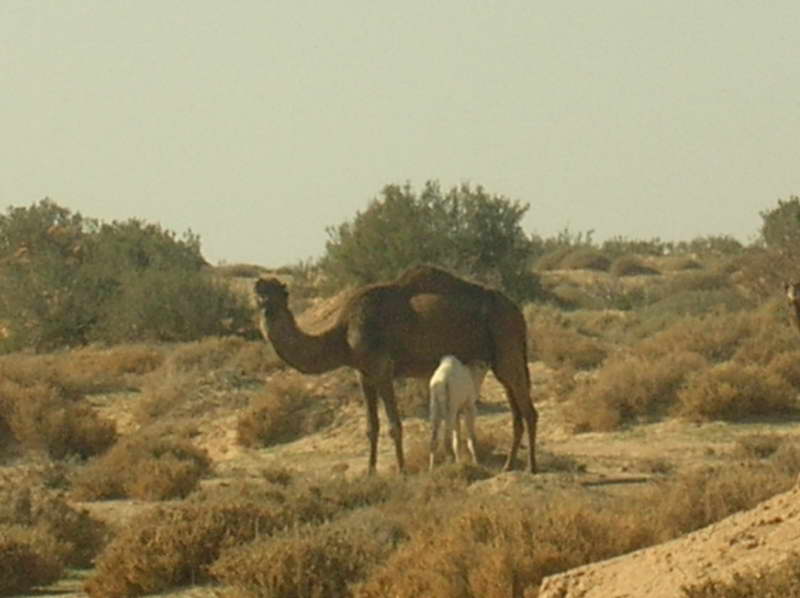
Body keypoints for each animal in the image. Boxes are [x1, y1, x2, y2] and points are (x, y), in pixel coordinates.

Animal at [255, 264, 536, 476]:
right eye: (260, 292)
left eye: (278, 292)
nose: (263, 300)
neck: (343, 333)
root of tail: (518, 311)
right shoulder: (363, 373)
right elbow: (372, 426)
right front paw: (370, 473)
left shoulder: (382, 369)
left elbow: (394, 424)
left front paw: (401, 471)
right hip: (500, 358)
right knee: (516, 411)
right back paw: (509, 466)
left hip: (506, 342)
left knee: (528, 410)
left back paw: (532, 467)